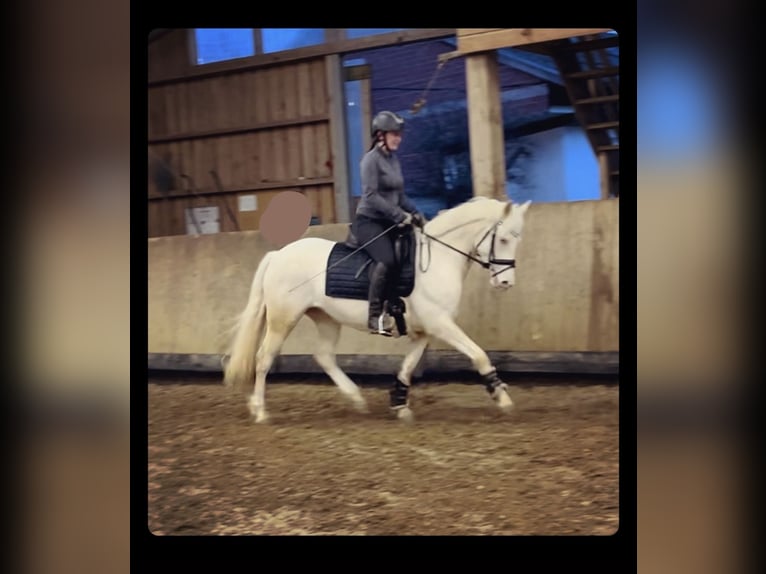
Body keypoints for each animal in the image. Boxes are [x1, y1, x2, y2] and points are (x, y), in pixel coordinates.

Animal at [225, 198, 532, 424]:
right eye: (503, 239)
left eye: (517, 239)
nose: (505, 283)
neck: (438, 259)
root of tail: (278, 255)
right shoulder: (440, 323)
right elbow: (478, 354)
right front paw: (501, 396)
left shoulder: (423, 331)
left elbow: (408, 367)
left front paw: (399, 404)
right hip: (283, 319)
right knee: (264, 358)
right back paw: (260, 411)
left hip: (326, 318)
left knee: (323, 356)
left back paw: (356, 399)